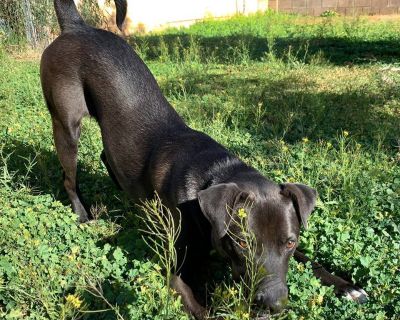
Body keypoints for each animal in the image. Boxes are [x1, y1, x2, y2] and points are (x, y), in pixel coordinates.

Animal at [42, 1, 368, 318]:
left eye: (290, 242)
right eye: (242, 243)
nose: (273, 304)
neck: (214, 173)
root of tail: (77, 26)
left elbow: (312, 259)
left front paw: (348, 286)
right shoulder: (174, 271)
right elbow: (204, 310)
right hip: (66, 124)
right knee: (68, 177)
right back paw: (83, 215)